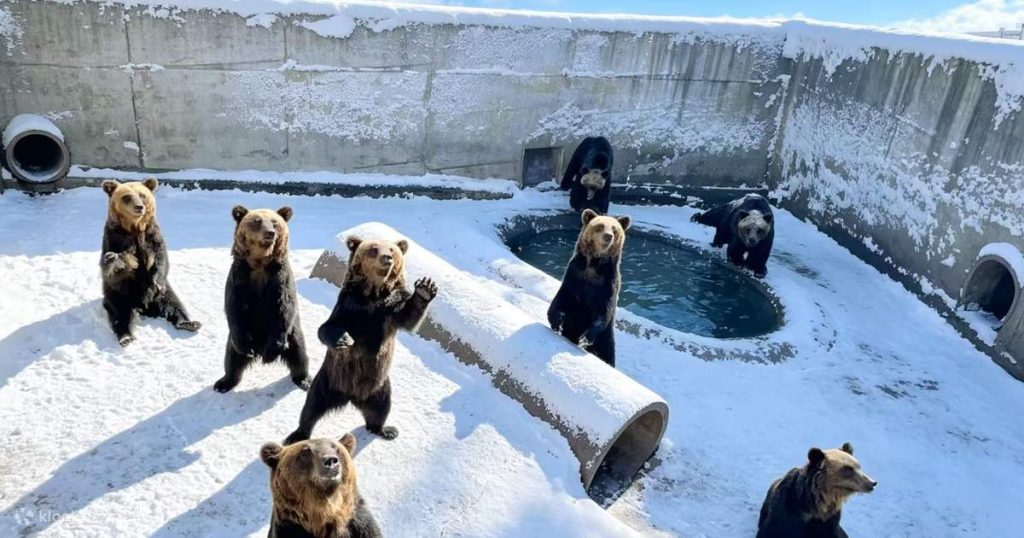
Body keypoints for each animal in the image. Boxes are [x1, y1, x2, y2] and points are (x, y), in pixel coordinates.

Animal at [99, 178, 200, 346]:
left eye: (142, 195)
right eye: (127, 197)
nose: (139, 207)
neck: (134, 228)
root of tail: (143, 306)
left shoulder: (152, 235)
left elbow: (160, 258)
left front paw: (156, 281)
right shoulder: (114, 237)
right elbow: (113, 267)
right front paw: (114, 259)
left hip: (163, 292)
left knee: (173, 303)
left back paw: (189, 323)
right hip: (118, 294)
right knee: (119, 313)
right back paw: (126, 336)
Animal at [214, 205, 311, 393]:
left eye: (275, 222)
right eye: (257, 221)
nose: (270, 233)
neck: (260, 264)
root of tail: (258, 349)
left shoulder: (280, 277)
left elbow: (283, 306)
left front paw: (272, 351)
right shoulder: (240, 277)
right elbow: (234, 306)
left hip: (292, 334)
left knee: (299, 353)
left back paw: (304, 379)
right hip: (236, 339)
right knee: (232, 358)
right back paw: (224, 382)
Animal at [284, 236, 438, 445]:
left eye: (392, 249)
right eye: (374, 249)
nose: (387, 258)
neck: (372, 296)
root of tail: (351, 396)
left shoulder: (389, 313)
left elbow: (410, 318)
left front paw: (425, 288)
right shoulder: (349, 307)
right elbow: (327, 327)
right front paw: (343, 339)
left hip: (380, 386)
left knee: (380, 408)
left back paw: (386, 430)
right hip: (329, 379)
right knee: (312, 406)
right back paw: (298, 434)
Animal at [547, 208, 630, 367]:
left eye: (615, 229)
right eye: (600, 226)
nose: (608, 236)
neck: (593, 265)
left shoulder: (608, 283)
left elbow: (604, 310)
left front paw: (585, 337)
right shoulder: (574, 276)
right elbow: (561, 299)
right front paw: (557, 321)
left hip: (606, 341)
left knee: (606, 354)